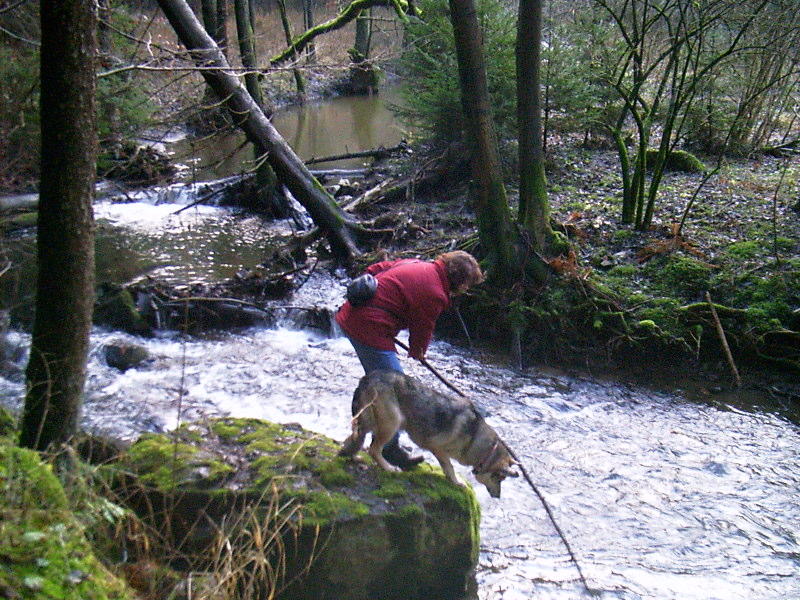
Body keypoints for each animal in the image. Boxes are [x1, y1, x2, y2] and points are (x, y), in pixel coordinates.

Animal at [340, 370, 520, 496]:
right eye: (499, 478)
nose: (498, 496)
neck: (476, 438)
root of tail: (367, 378)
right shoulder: (438, 448)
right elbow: (449, 467)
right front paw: (456, 482)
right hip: (392, 423)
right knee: (373, 449)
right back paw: (389, 468)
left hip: (368, 422)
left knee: (356, 439)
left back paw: (352, 456)